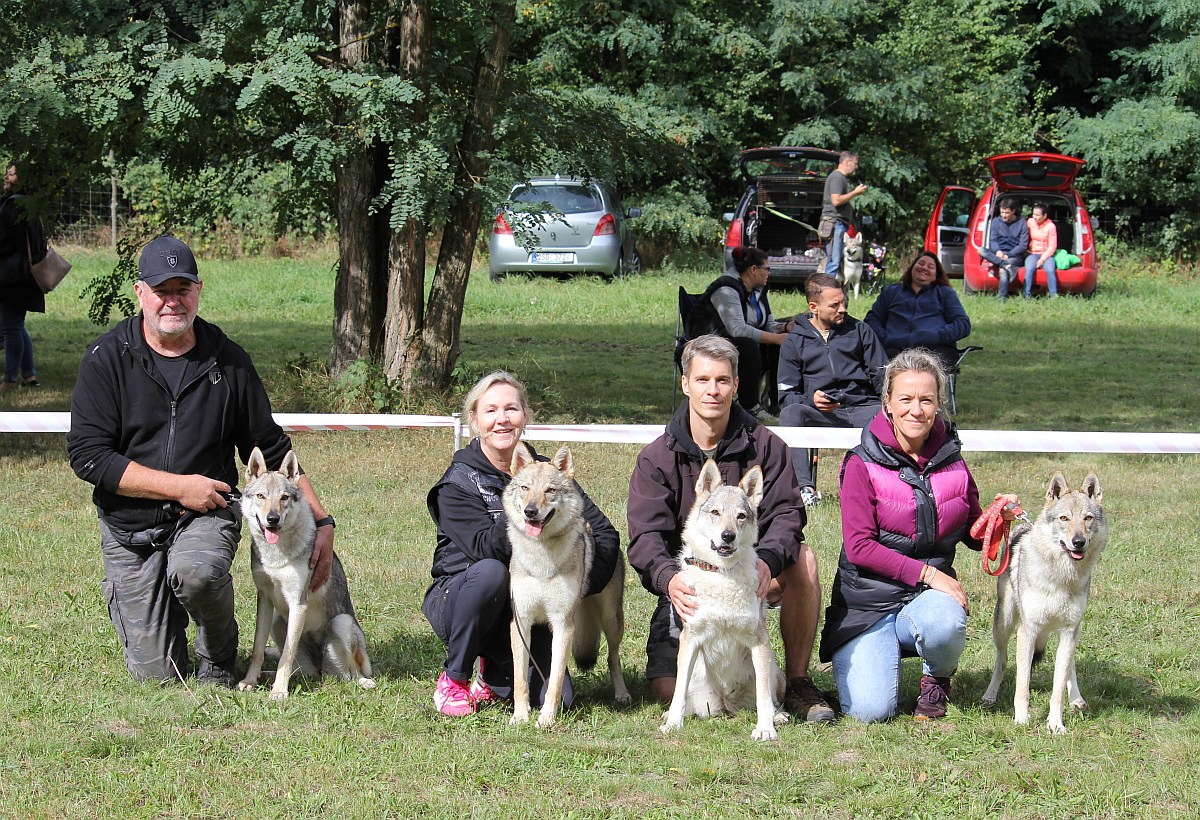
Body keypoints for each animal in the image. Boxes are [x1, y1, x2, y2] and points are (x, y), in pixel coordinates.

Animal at [236, 449, 372, 701]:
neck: (277, 555)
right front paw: (250, 681)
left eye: (284, 498)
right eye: (261, 496)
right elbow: (258, 649)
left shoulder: (297, 603)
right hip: (278, 620)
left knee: (352, 675)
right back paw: (269, 675)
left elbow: (285, 656)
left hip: (341, 623)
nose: (272, 519)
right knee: (304, 672)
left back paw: (365, 681)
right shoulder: (265, 598)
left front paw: (279, 692)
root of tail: (322, 670)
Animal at [499, 446, 628, 729]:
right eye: (525, 488)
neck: (541, 559)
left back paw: (622, 694)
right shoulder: (520, 621)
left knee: (613, 657)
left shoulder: (562, 624)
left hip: (611, 621)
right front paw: (520, 716)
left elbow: (555, 681)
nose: (530, 511)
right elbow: (520, 679)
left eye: (550, 490)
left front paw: (546, 718)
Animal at [657, 461, 787, 744]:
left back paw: (779, 716)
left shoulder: (759, 641)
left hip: (773, 669)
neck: (721, 574)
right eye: (715, 512)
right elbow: (678, 693)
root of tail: (728, 704)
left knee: (770, 699)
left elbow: (763, 698)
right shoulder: (691, 639)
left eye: (741, 516)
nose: (728, 536)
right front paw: (672, 724)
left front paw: (765, 729)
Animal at [984, 470, 1104, 734]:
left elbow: (1058, 686)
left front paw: (1056, 724)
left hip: (1070, 633)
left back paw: (1077, 699)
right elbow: (1022, 685)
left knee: (1070, 666)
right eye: (1064, 518)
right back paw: (990, 694)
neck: (1062, 576)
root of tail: (1023, 526)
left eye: (1088, 518)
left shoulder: (1069, 630)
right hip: (1004, 625)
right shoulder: (1028, 630)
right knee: (1002, 661)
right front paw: (1021, 719)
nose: (1078, 542)